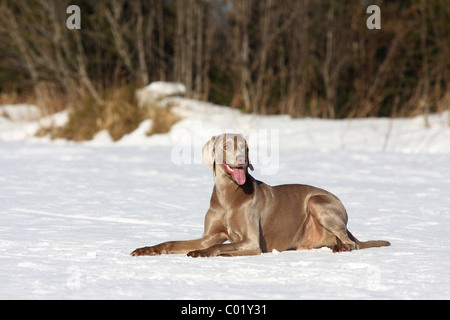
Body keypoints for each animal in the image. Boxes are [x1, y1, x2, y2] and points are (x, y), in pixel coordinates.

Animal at [130, 133, 390, 258]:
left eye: (244, 147)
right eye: (226, 146)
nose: (242, 159)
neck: (228, 196)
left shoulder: (252, 242)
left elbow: (219, 247)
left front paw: (202, 254)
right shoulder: (209, 236)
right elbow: (173, 242)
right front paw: (147, 249)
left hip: (318, 202)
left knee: (350, 243)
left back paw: (342, 248)